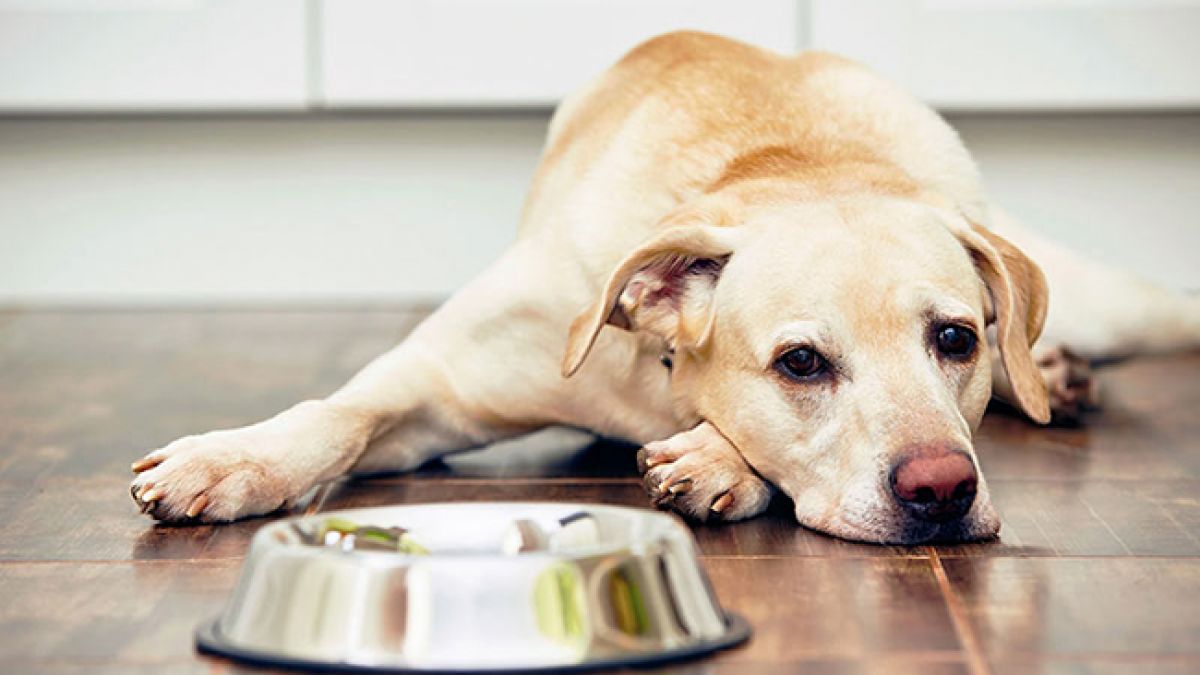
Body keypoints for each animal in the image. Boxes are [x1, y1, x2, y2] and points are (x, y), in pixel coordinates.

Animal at [131, 34, 1200, 542]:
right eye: (801, 362)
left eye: (956, 340)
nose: (942, 489)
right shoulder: (438, 381)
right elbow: (337, 413)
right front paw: (233, 458)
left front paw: (716, 458)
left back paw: (1053, 373)